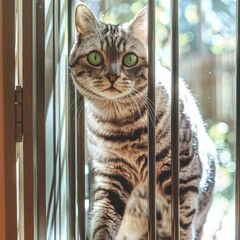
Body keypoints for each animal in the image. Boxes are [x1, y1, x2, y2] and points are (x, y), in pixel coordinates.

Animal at [69, 2, 216, 240]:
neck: (122, 123)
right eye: (95, 58)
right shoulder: (111, 176)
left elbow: (182, 224)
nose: (112, 76)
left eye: (130, 59)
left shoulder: (183, 174)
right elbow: (103, 221)